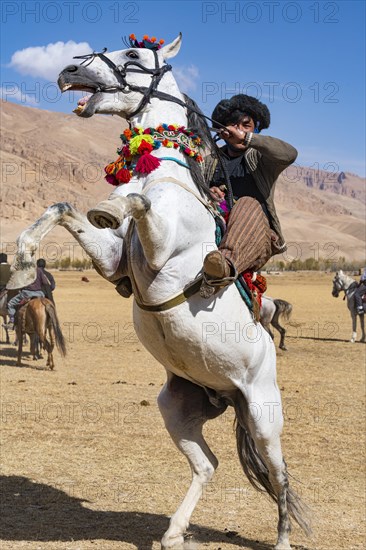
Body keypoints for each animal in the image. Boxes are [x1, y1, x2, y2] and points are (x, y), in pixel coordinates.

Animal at [7, 35, 310, 550]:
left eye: (132, 56)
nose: (68, 71)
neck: (162, 170)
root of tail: (226, 394)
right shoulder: (111, 260)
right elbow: (63, 208)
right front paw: (21, 265)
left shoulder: (165, 244)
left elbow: (135, 200)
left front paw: (113, 204)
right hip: (178, 409)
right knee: (208, 464)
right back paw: (173, 533)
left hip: (264, 415)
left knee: (280, 474)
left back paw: (283, 540)